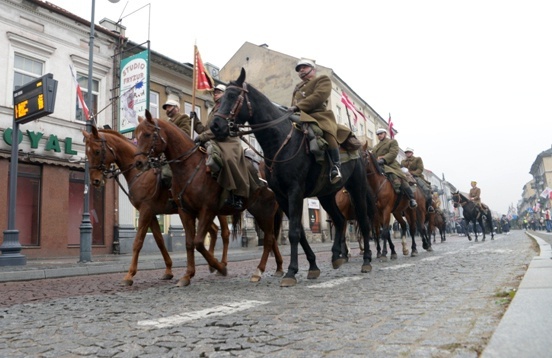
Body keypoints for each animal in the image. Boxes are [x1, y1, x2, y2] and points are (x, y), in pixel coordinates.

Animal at [82, 126, 231, 286]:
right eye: (87, 152)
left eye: (97, 151)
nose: (95, 181)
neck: (140, 173)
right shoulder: (152, 213)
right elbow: (159, 241)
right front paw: (168, 271)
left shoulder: (145, 211)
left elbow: (138, 242)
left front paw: (129, 275)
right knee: (214, 231)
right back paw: (213, 265)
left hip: (214, 210)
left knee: (224, 233)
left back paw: (222, 264)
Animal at [134, 110, 284, 286]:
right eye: (136, 134)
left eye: (148, 134)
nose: (138, 163)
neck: (190, 167)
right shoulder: (185, 212)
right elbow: (189, 243)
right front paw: (187, 275)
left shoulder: (207, 209)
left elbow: (199, 242)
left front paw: (220, 267)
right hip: (258, 211)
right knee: (271, 237)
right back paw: (278, 268)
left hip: (266, 211)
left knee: (268, 239)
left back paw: (258, 271)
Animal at [209, 66, 378, 286]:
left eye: (232, 96)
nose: (215, 126)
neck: (280, 141)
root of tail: (358, 147)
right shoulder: (282, 197)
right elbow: (300, 233)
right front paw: (312, 266)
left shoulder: (295, 192)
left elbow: (294, 232)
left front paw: (290, 272)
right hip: (326, 195)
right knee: (340, 221)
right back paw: (336, 256)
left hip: (356, 188)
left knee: (364, 223)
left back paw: (366, 260)